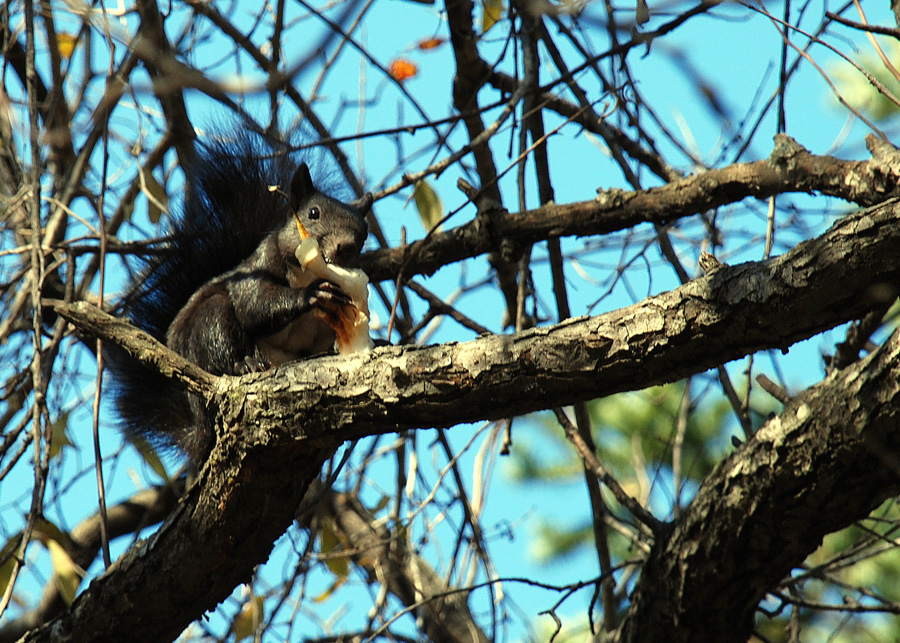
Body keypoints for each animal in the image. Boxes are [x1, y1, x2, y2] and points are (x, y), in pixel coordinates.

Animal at [109, 130, 370, 462]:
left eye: (363, 231)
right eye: (314, 213)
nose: (346, 247)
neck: (308, 271)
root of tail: (197, 422)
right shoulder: (255, 272)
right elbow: (254, 306)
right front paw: (311, 293)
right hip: (211, 324)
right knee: (221, 338)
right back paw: (243, 364)